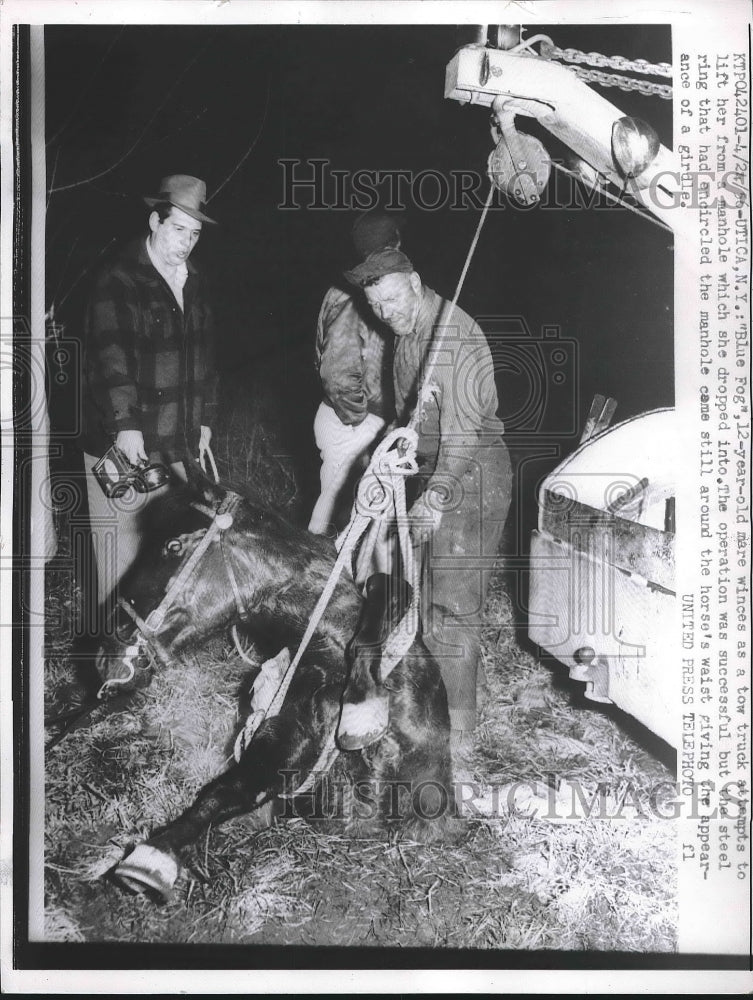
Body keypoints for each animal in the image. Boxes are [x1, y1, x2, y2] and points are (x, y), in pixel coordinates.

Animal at [96, 480, 456, 896]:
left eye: (173, 546)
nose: (105, 654)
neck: (328, 656)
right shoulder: (286, 745)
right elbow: (227, 790)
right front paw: (154, 855)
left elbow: (388, 585)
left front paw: (362, 709)